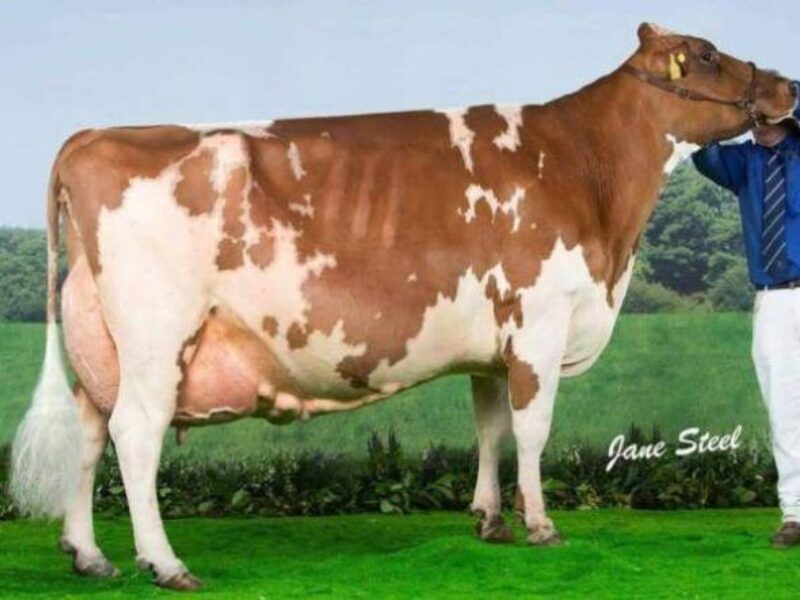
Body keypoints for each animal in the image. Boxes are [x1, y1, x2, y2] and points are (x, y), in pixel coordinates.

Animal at [9, 22, 797, 590]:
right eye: (705, 55)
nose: (786, 86)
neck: (590, 180)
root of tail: (94, 135)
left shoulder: (493, 347)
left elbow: (489, 430)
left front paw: (489, 520)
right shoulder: (539, 324)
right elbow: (532, 431)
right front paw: (540, 526)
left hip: (100, 348)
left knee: (88, 432)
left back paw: (89, 555)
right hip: (156, 338)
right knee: (135, 437)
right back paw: (165, 564)